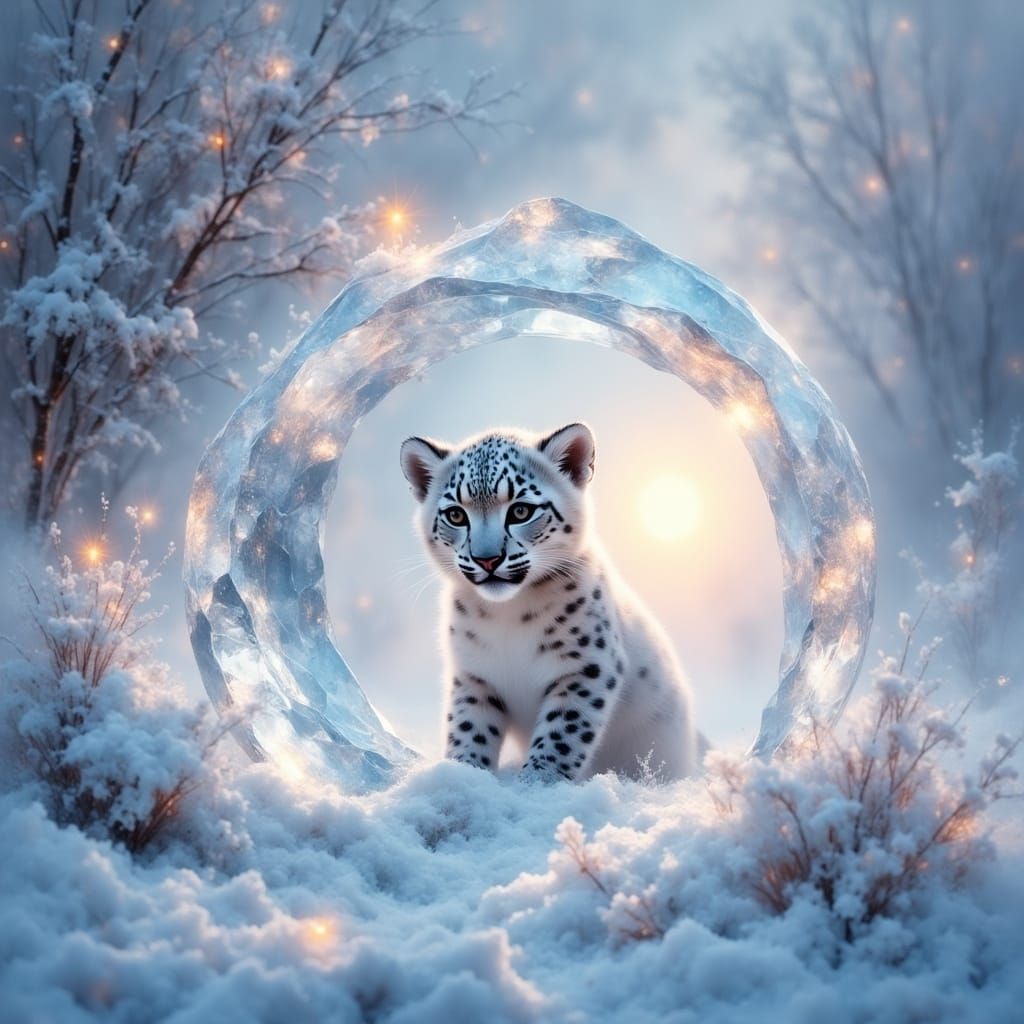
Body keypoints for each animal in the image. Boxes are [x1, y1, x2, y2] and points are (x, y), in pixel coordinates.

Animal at [400, 422, 697, 782]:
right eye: (456, 515)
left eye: (521, 510)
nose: (487, 559)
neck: (506, 614)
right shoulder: (474, 675)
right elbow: (469, 727)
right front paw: (461, 774)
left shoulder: (586, 667)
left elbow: (562, 733)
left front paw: (537, 782)